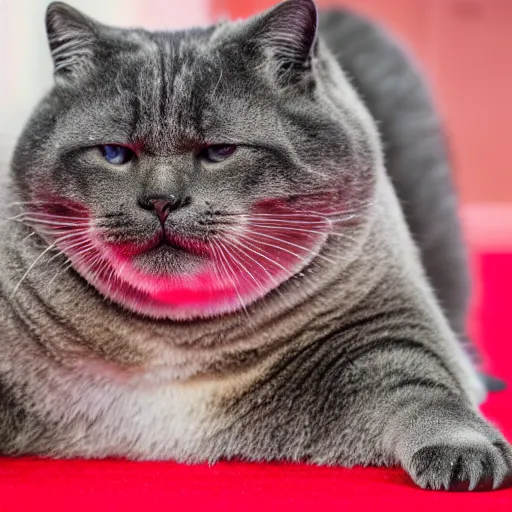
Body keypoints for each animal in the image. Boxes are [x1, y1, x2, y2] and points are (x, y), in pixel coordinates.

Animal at [1, 0, 512, 492]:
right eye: (114, 153)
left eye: (219, 151)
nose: (161, 200)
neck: (177, 342)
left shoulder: (387, 331)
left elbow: (427, 394)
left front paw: (465, 453)